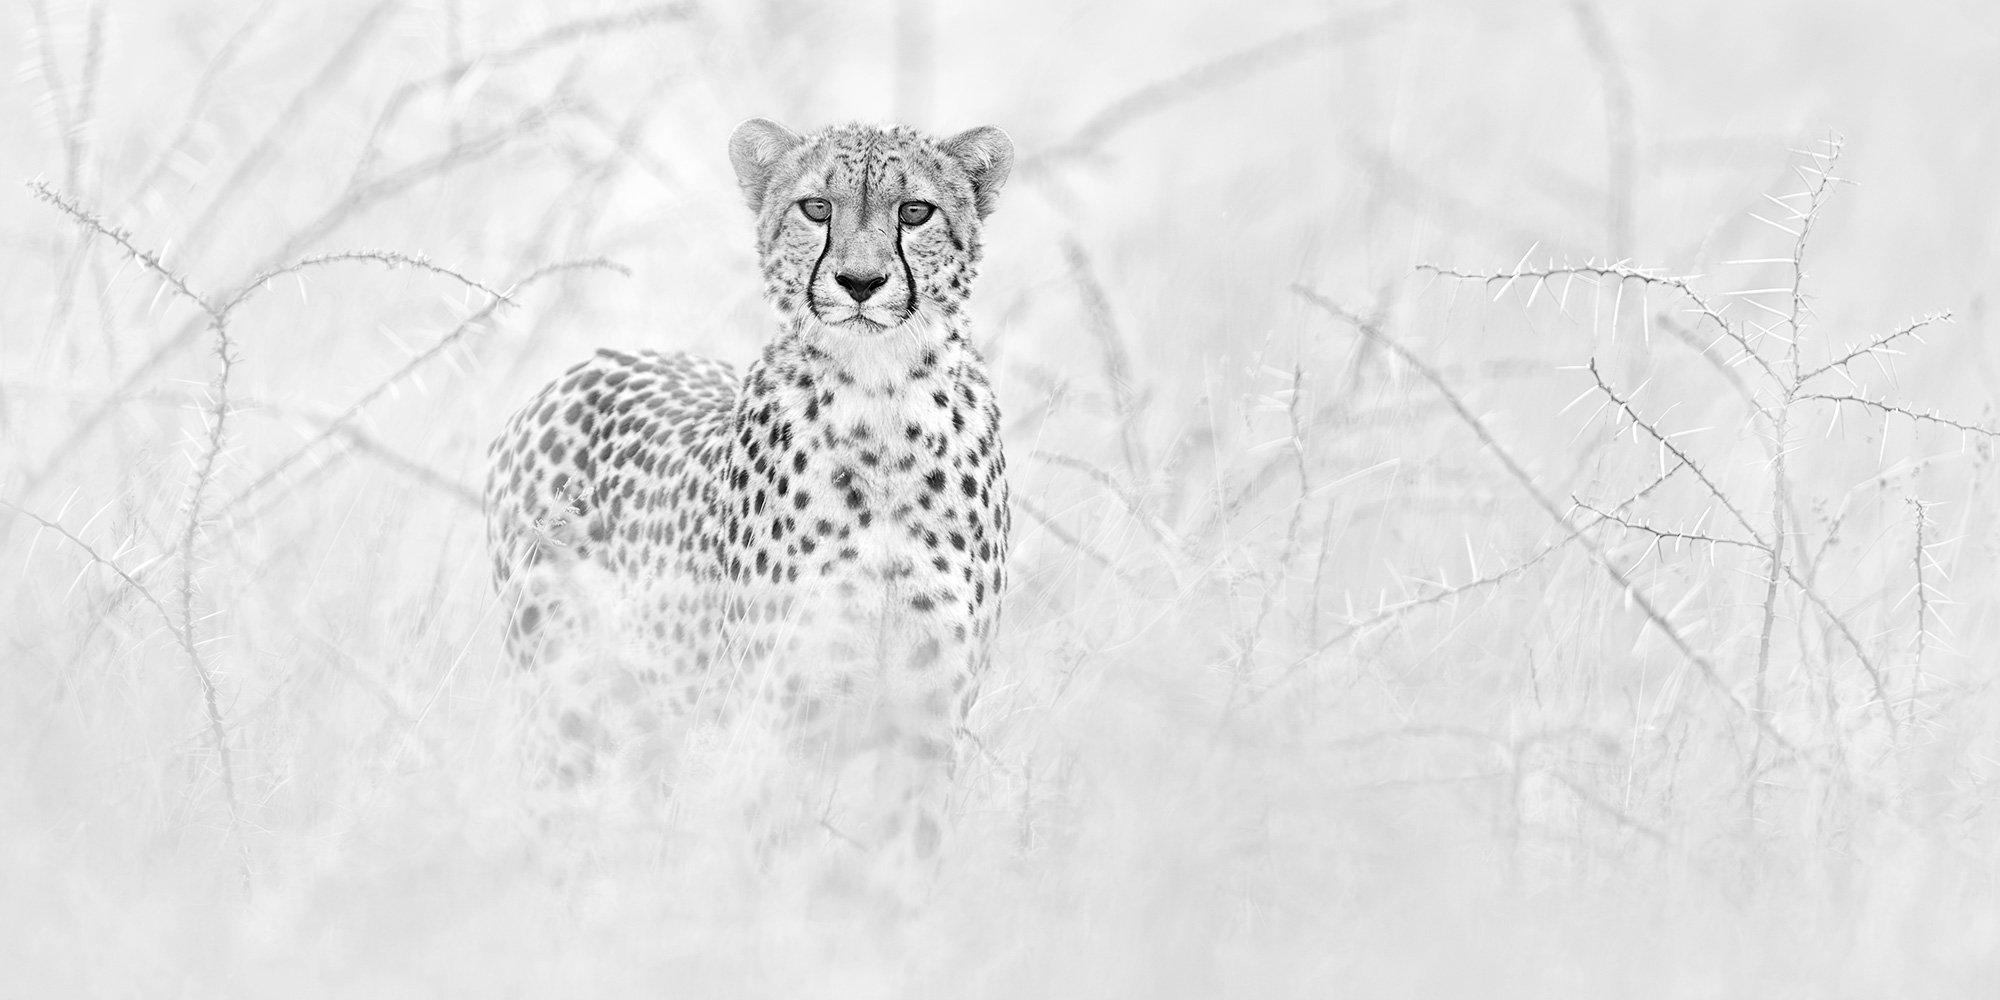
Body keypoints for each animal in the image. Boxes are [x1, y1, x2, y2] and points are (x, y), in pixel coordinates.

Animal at [482, 118, 1014, 858]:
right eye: (816, 208)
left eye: (916, 211)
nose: (860, 282)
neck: (880, 398)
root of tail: (577, 370)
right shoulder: (783, 711)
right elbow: (770, 842)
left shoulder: (928, 721)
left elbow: (902, 856)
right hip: (565, 705)